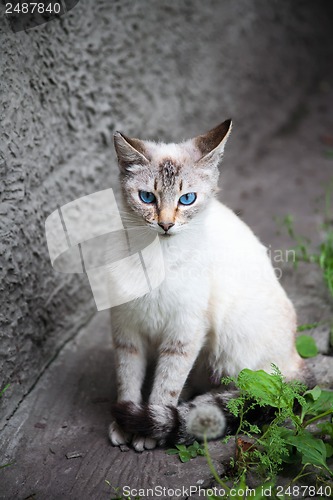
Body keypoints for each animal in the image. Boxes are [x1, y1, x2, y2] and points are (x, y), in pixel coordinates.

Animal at [107, 120, 308, 454]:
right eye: (147, 197)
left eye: (187, 199)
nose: (165, 225)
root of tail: (297, 362)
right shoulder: (127, 330)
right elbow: (127, 380)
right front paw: (125, 422)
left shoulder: (184, 333)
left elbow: (166, 385)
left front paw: (148, 429)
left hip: (234, 352)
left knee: (244, 394)